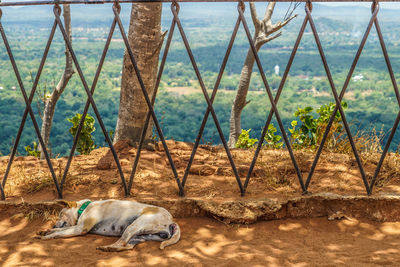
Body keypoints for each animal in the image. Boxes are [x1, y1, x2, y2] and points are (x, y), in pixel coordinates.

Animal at [36, 199, 180, 253]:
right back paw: (111, 249)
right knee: (127, 246)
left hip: (134, 226)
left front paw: (47, 236)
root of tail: (172, 220)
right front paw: (46, 231)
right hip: (142, 236)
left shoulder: (80, 228)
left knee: (122, 242)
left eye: (60, 214)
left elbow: (59, 232)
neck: (84, 208)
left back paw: (107, 248)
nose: (54, 223)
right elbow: (60, 229)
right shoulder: (77, 226)